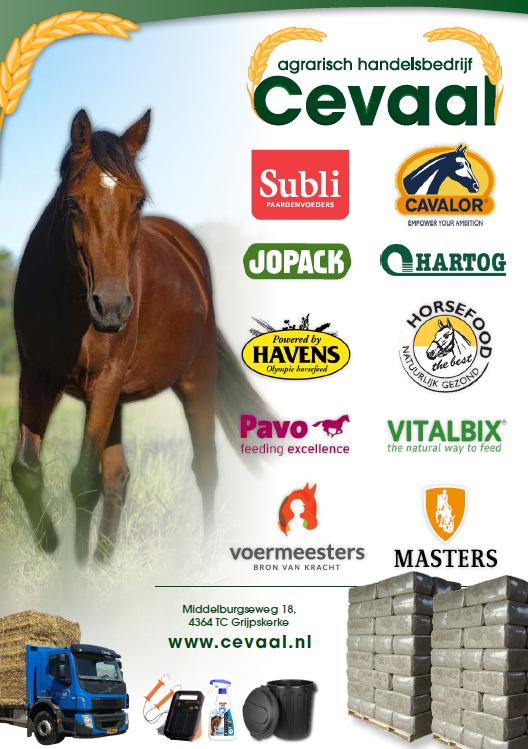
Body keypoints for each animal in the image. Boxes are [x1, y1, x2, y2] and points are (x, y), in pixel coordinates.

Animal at [11, 109, 270, 564]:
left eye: (138, 201)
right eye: (71, 202)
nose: (112, 307)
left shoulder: (103, 383)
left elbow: (84, 478)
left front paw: (73, 571)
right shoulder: (37, 378)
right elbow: (26, 469)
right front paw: (53, 546)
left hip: (194, 383)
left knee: (205, 468)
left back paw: (204, 559)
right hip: (114, 398)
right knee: (118, 476)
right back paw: (103, 560)